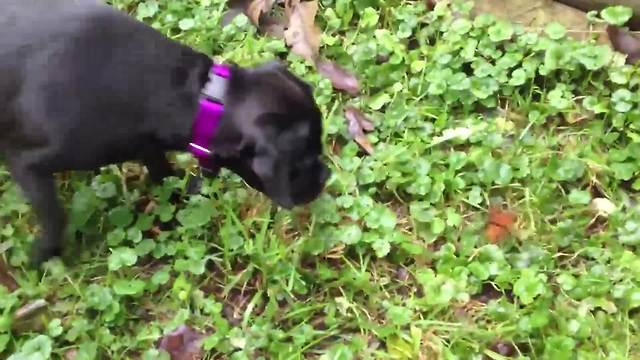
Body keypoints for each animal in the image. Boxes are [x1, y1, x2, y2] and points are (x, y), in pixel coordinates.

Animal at [0, 1, 330, 266]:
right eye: (301, 163)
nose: (326, 176)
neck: (203, 96)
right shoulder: (26, 163)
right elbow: (55, 217)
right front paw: (41, 257)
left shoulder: (146, 141)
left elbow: (161, 169)